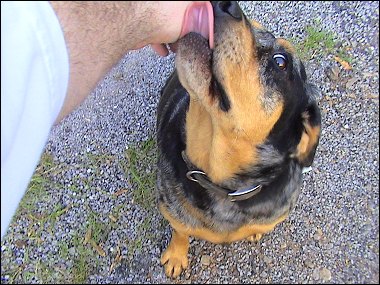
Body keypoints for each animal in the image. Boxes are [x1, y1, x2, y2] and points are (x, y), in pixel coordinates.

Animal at [156, 0, 320, 278]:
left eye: (281, 62)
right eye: (253, 26)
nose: (226, 4)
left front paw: (253, 233)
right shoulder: (171, 210)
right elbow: (180, 231)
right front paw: (176, 255)